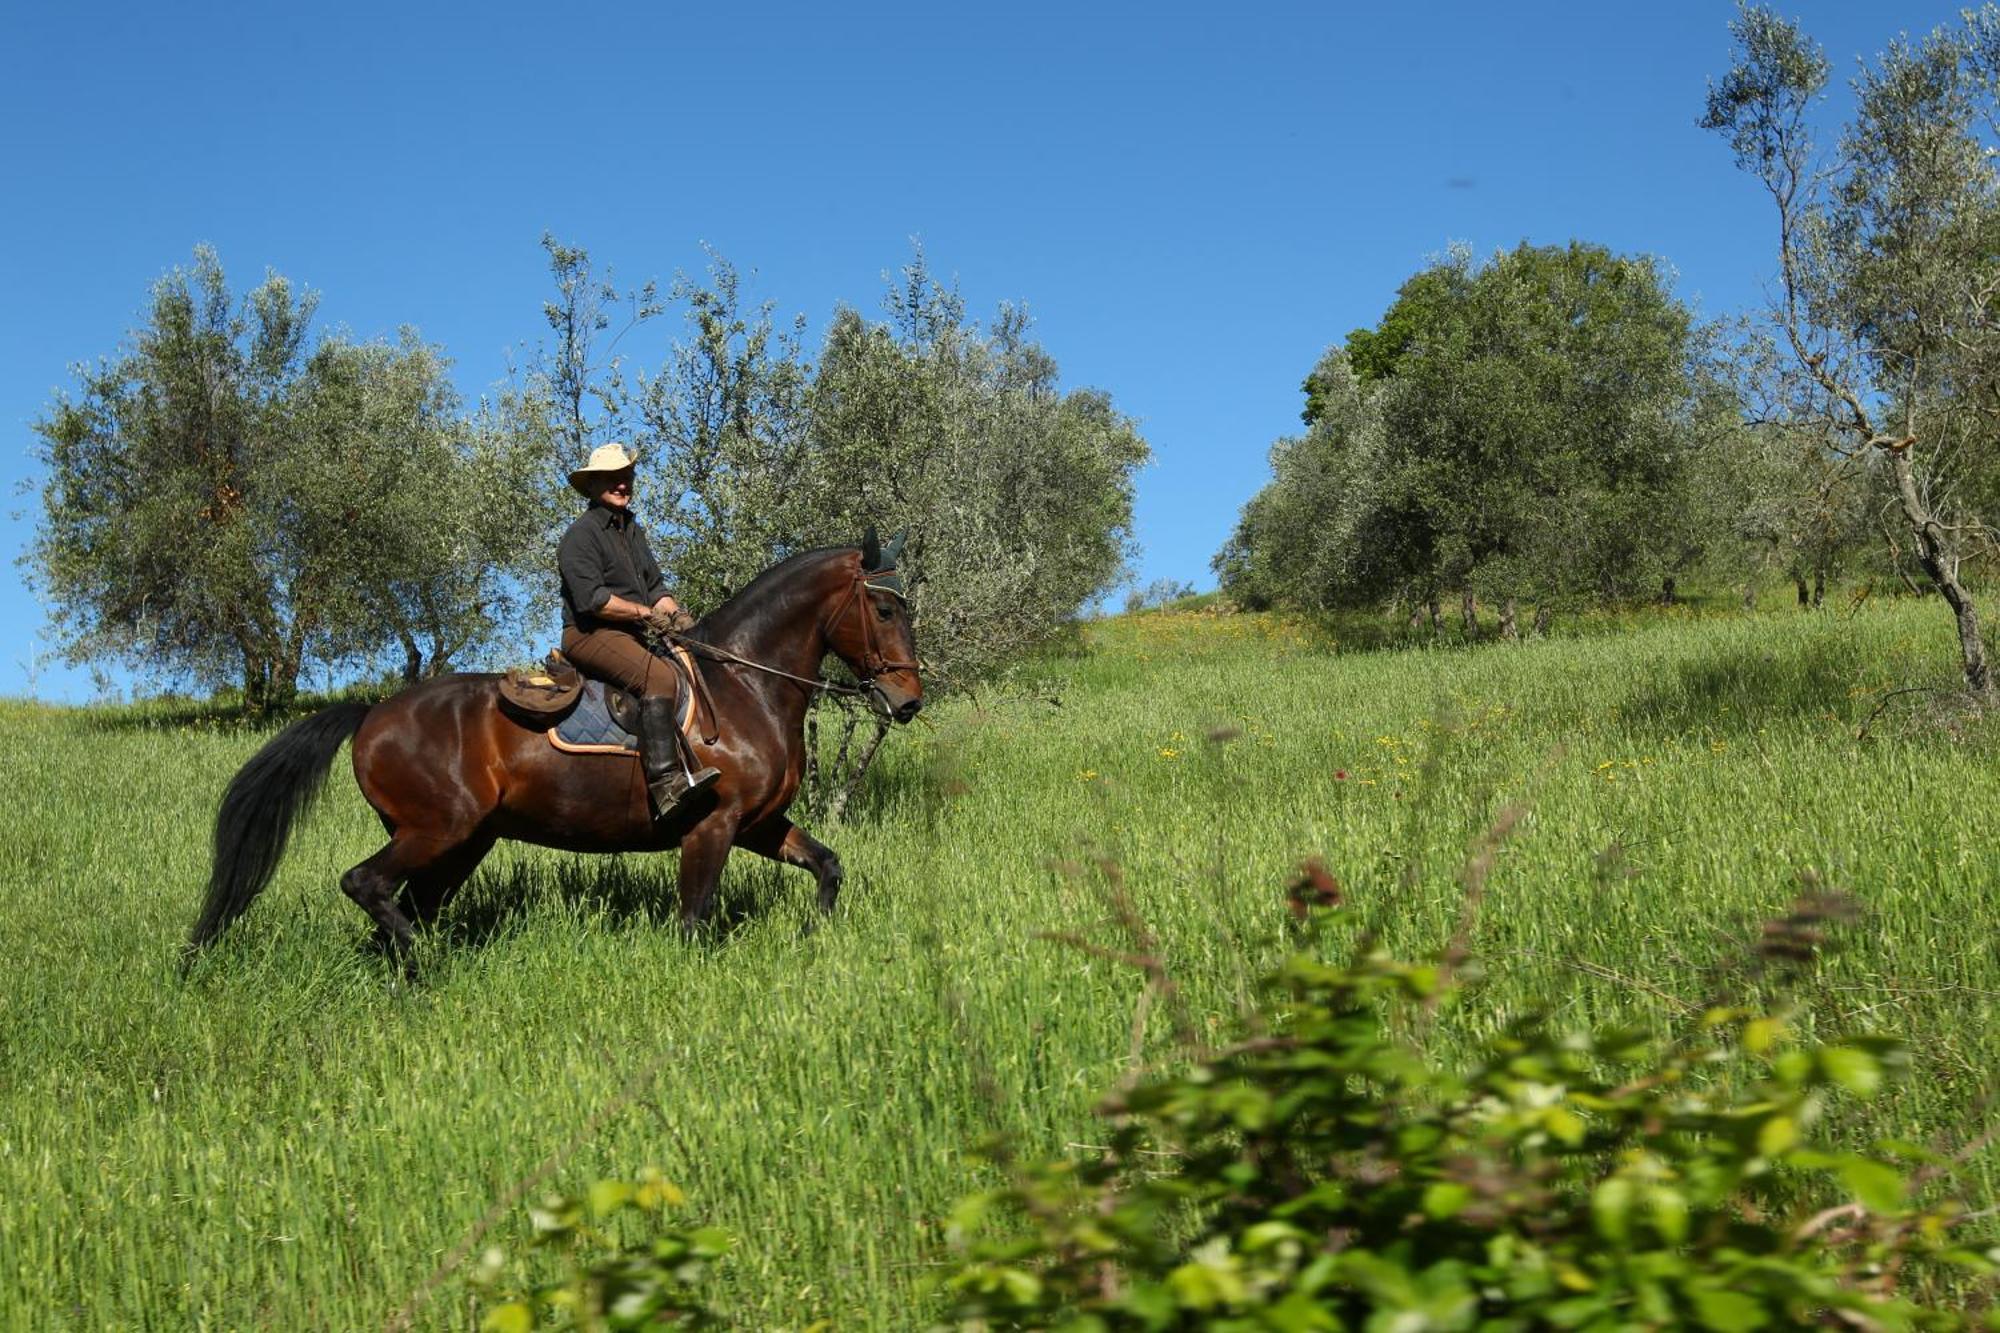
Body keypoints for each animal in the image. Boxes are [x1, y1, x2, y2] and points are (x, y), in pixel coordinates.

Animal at [188, 528, 920, 956]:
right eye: (885, 608)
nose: (908, 700)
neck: (744, 683)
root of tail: (373, 714)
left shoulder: (758, 822)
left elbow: (827, 866)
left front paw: (813, 936)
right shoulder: (712, 826)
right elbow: (694, 919)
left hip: (461, 840)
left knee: (404, 901)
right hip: (438, 829)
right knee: (366, 884)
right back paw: (428, 959)